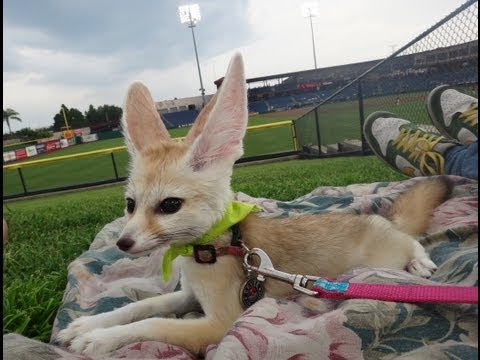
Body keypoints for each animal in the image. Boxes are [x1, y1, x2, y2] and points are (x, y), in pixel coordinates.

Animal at [59, 53, 450, 358]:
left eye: (169, 205)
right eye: (130, 204)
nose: (122, 243)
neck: (218, 248)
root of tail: (374, 219)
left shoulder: (221, 323)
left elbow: (156, 324)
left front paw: (100, 339)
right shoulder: (188, 296)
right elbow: (146, 305)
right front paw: (89, 324)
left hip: (387, 254)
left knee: (412, 241)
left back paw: (419, 262)